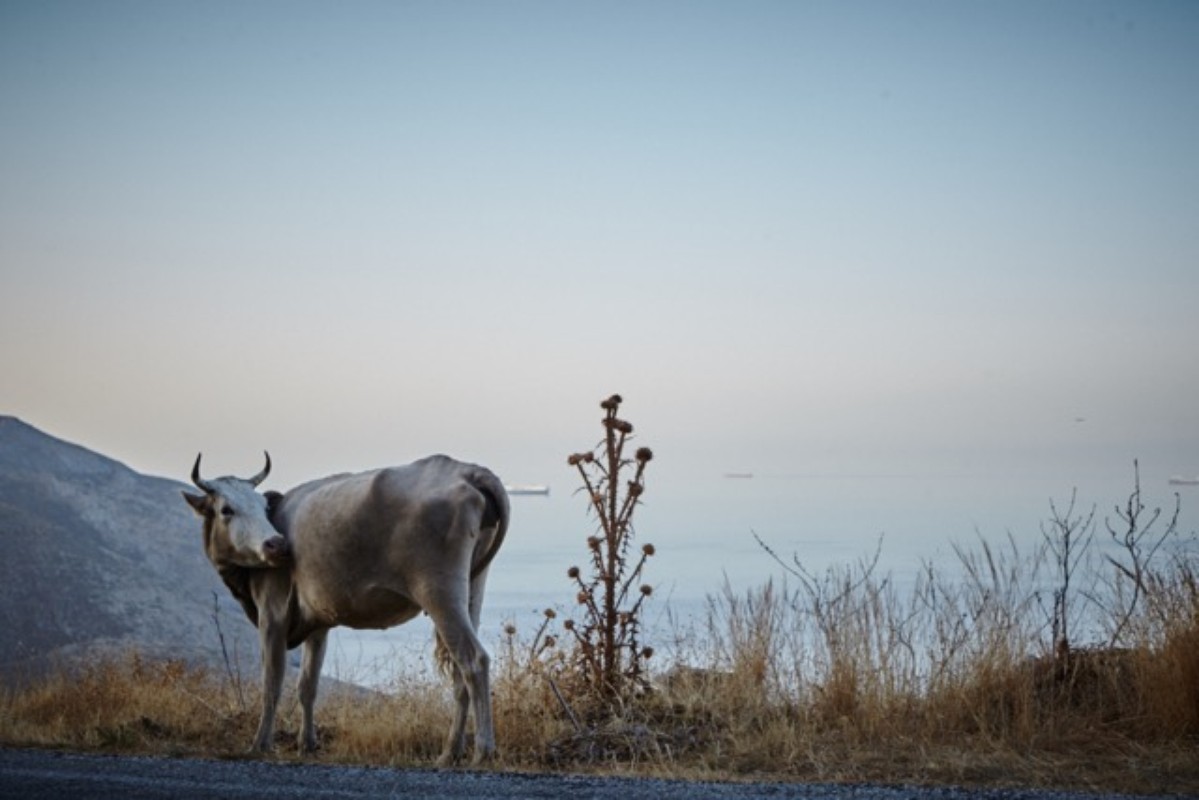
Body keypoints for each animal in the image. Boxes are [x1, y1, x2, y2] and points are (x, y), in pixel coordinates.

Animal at [182, 452, 509, 765]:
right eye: (227, 509)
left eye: (262, 507)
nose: (277, 544)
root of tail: (467, 470)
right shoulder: (318, 624)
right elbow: (307, 685)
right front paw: (306, 744)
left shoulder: (271, 615)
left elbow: (271, 684)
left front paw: (260, 744)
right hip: (471, 589)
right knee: (459, 672)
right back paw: (451, 751)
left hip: (439, 593)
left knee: (473, 660)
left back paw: (483, 750)